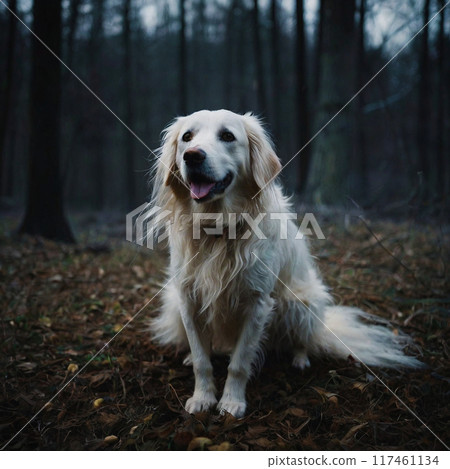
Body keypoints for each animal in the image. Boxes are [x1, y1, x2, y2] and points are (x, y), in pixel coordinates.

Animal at [150, 109, 422, 416]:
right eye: (187, 137)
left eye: (227, 136)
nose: (192, 156)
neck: (218, 229)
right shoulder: (188, 300)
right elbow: (201, 360)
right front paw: (203, 397)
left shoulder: (257, 303)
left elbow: (239, 363)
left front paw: (231, 401)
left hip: (301, 302)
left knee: (303, 339)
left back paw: (300, 359)